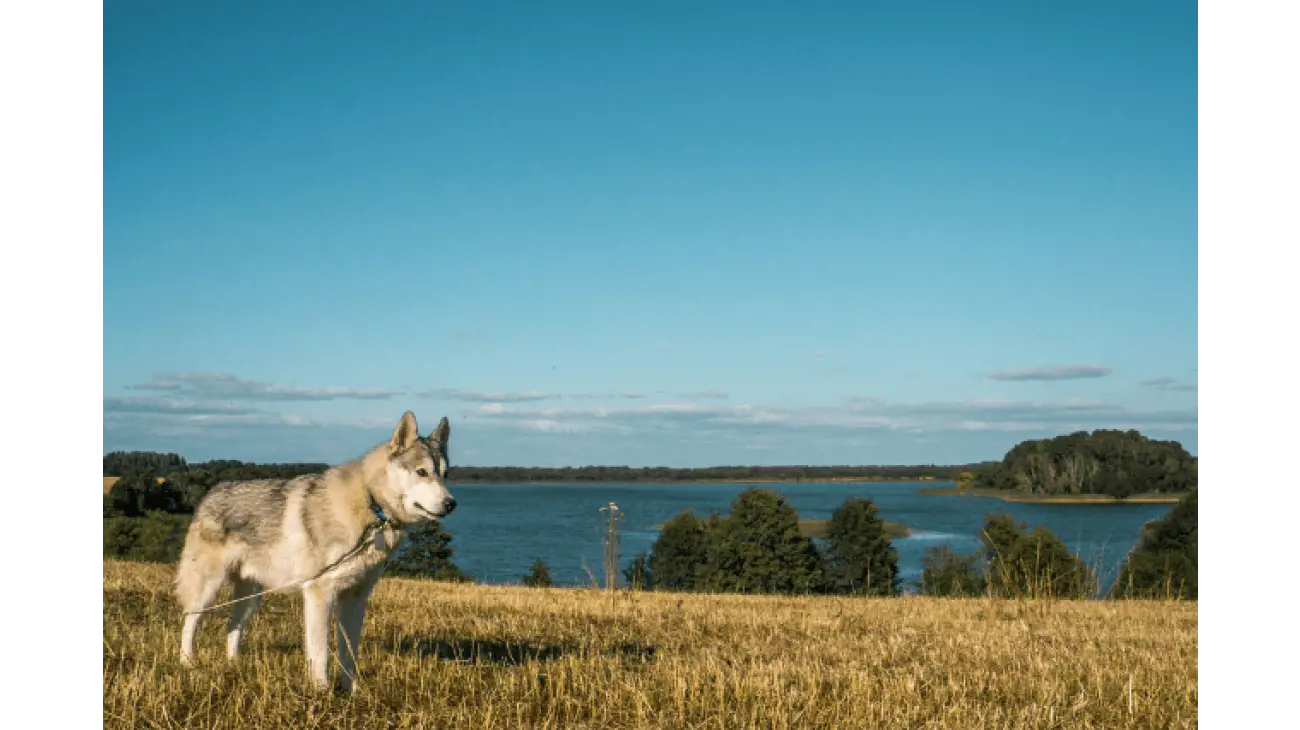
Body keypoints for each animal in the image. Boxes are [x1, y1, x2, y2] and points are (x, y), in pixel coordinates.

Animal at [172, 410, 457, 685]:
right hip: (208, 590)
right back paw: (187, 664)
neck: (372, 505)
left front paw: (353, 692)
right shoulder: (319, 593)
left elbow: (349, 655)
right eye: (422, 472)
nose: (451, 504)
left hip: (251, 597)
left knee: (233, 629)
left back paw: (234, 665)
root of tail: (212, 491)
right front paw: (321, 693)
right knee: (190, 622)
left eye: (445, 475)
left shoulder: (356, 598)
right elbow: (320, 655)